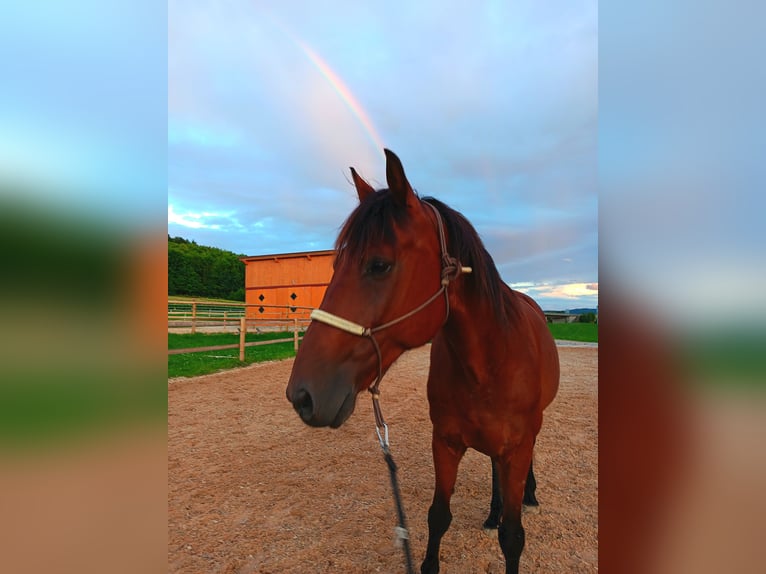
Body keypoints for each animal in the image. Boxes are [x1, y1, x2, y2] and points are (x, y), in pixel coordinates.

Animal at [286, 149, 560, 573]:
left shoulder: (517, 447)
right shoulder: (445, 443)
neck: (488, 366)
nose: (302, 395)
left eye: (379, 264)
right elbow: (438, 516)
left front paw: (515, 511)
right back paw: (492, 511)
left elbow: (513, 537)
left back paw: (527, 495)